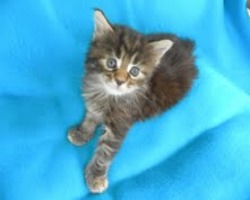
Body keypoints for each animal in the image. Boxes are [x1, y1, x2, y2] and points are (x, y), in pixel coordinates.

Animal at [68, 9, 197, 194]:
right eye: (111, 62)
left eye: (134, 71)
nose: (120, 81)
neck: (107, 96)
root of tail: (187, 48)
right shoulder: (93, 106)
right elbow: (89, 119)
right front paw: (82, 133)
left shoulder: (120, 124)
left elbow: (105, 152)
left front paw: (96, 176)